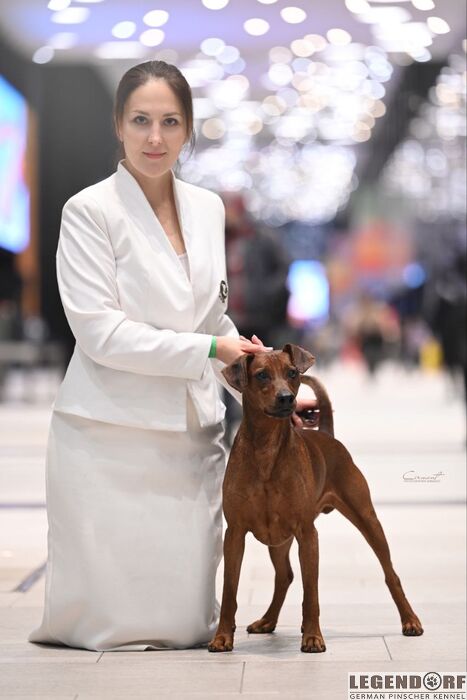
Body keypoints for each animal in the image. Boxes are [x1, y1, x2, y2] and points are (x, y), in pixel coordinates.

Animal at [208, 344, 423, 653]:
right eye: (261, 375)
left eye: (292, 373)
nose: (287, 398)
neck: (266, 448)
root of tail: (326, 435)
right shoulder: (235, 534)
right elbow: (229, 590)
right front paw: (222, 637)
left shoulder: (307, 533)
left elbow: (311, 592)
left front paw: (312, 637)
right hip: (278, 539)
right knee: (284, 576)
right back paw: (267, 621)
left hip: (366, 518)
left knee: (390, 573)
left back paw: (410, 621)